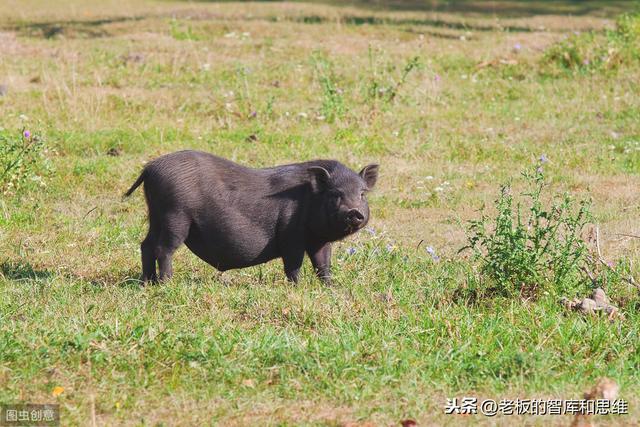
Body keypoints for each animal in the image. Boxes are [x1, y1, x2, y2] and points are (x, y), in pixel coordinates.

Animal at [122, 152, 378, 286]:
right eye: (335, 194)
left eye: (362, 194)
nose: (355, 212)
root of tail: (150, 169)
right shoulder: (291, 236)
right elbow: (293, 265)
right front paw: (297, 287)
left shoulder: (318, 241)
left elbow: (323, 265)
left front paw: (329, 287)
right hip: (175, 217)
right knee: (163, 249)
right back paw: (166, 282)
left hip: (156, 216)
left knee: (146, 245)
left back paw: (147, 282)